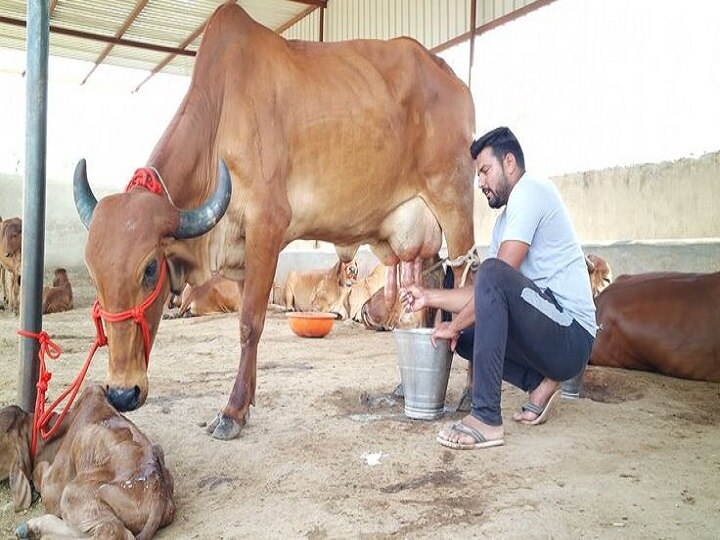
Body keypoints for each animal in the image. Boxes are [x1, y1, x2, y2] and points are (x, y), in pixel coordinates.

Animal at [2, 384, 176, 540]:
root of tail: (159, 494)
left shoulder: (53, 488)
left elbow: (38, 471)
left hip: (74, 492)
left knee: (113, 531)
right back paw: (29, 529)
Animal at [71, 4, 478, 440]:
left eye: (149, 269)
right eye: (94, 275)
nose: (122, 393)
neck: (220, 118)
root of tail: (452, 78)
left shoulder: (267, 226)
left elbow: (250, 323)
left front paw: (232, 412)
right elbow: (249, 323)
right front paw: (245, 402)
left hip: (454, 206)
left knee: (468, 280)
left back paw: (468, 394)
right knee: (426, 292)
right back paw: (408, 386)